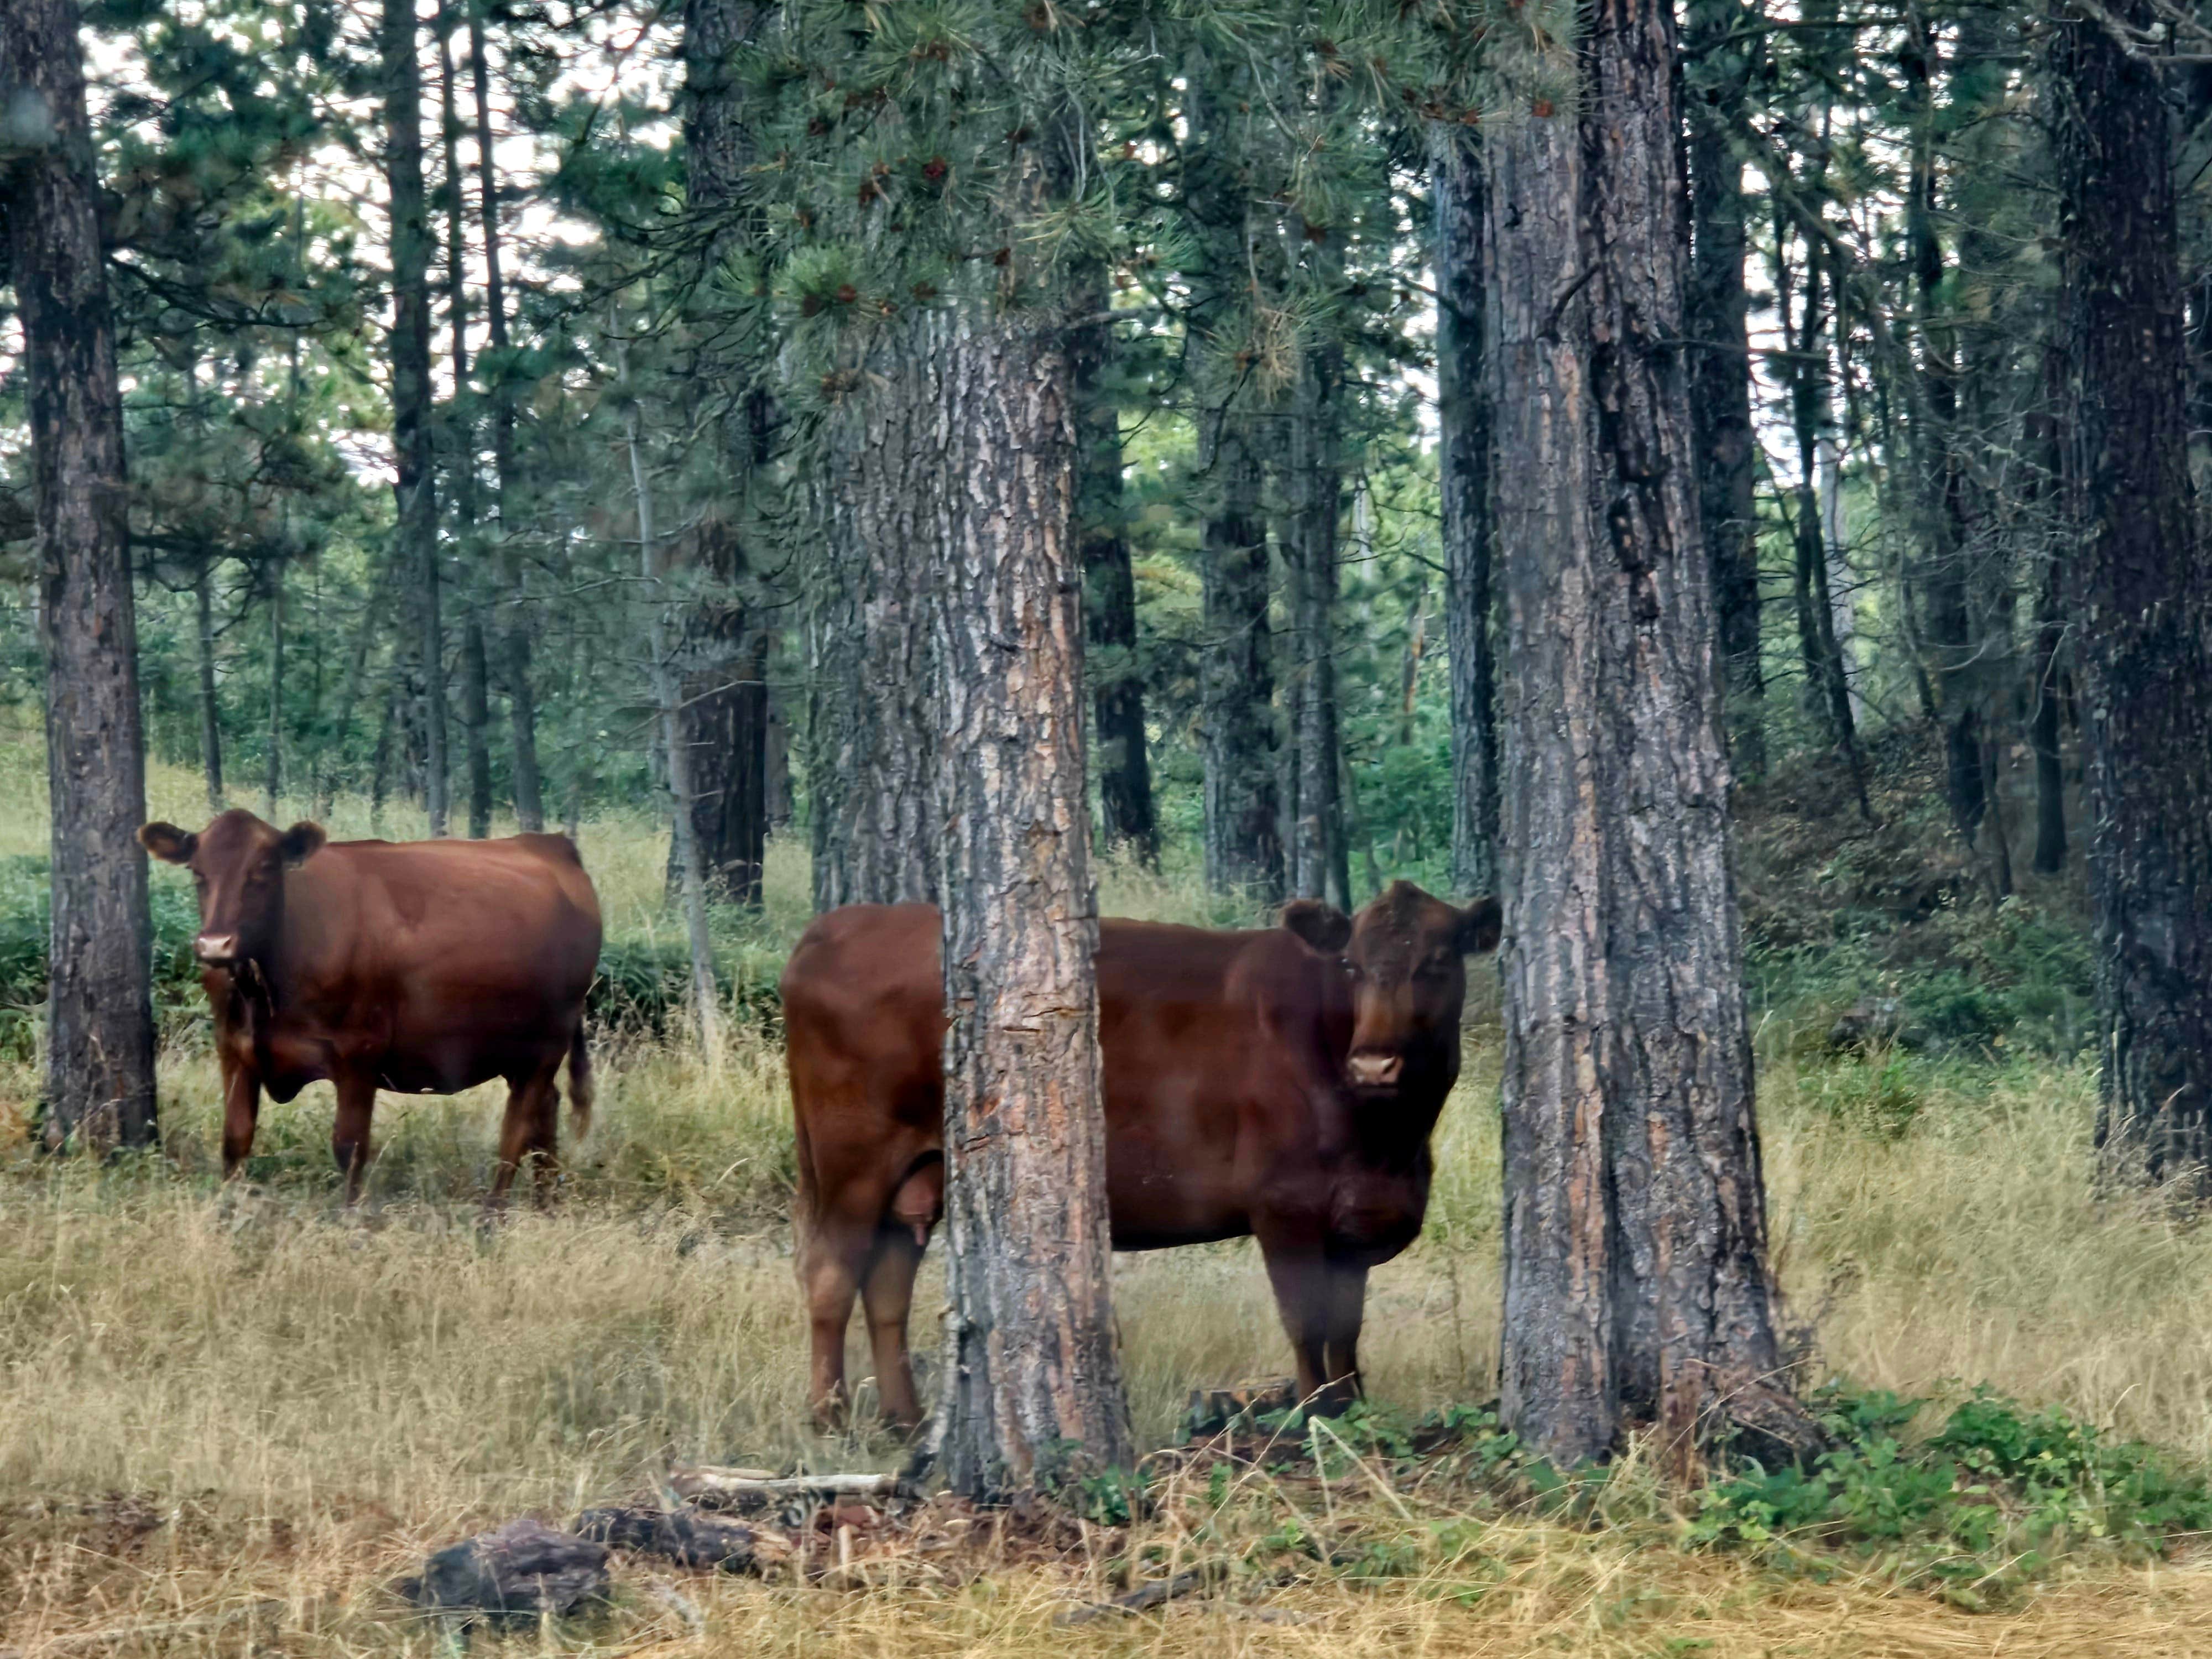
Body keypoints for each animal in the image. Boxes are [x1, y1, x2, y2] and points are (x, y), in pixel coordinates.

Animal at [140, 814, 606, 1203]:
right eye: (198, 873)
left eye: (265, 869)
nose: (215, 946)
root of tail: (548, 844)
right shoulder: (234, 1051)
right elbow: (235, 1141)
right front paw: (228, 1211)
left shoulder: (357, 1056)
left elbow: (350, 1149)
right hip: (517, 1050)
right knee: (546, 1112)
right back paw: (545, 1203)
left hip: (547, 1044)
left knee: (517, 1131)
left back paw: (494, 1214)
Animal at [783, 876, 1504, 1433]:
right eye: (1352, 965)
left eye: (1438, 961)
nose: (1374, 1062)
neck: (1387, 1144)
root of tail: (838, 926)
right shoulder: (1286, 1207)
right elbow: (1306, 1324)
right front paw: (1313, 1419)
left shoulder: (1357, 1215)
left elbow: (1346, 1330)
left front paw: (1353, 1409)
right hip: (854, 1159)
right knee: (831, 1275)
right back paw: (827, 1415)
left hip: (919, 1170)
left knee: (887, 1283)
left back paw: (903, 1419)